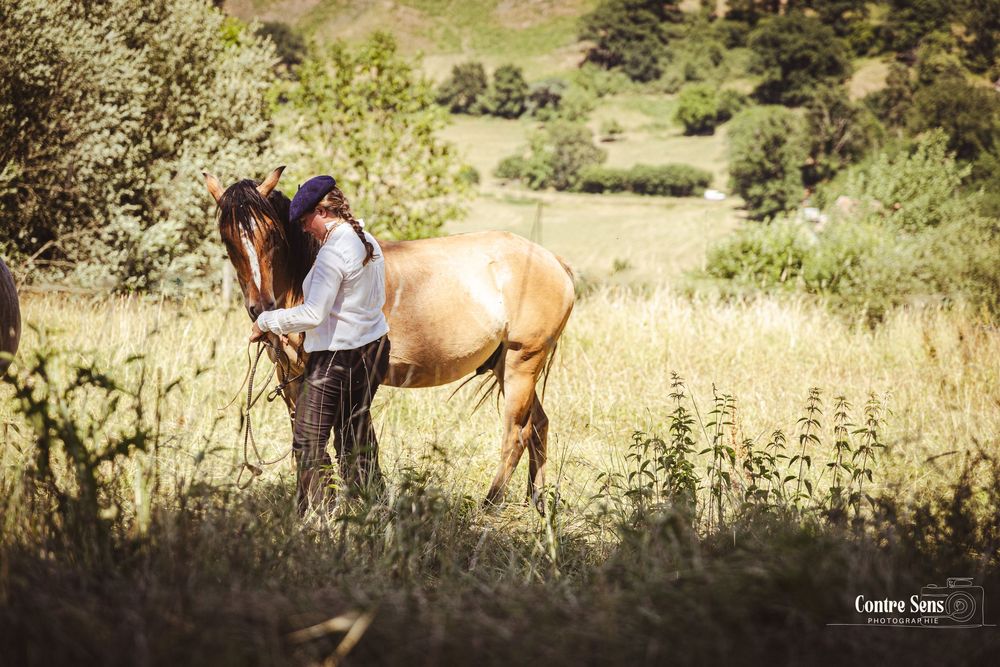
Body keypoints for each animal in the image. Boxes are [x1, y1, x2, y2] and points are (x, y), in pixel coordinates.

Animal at [204, 166, 575, 510]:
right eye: (228, 239)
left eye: (271, 235)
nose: (261, 308)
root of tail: (554, 262)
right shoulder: (292, 380)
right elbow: (308, 444)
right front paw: (310, 506)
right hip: (508, 368)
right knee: (539, 426)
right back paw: (538, 502)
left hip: (520, 365)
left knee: (516, 434)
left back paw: (489, 505)